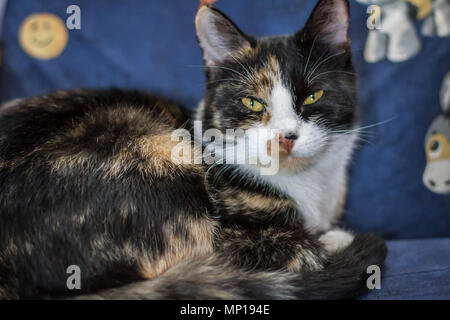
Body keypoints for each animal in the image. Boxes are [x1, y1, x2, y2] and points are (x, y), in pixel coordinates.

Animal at [0, 0, 386, 300]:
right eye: (252, 102)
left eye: (313, 96)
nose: (286, 137)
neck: (309, 186)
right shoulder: (231, 235)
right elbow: (303, 250)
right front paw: (335, 238)